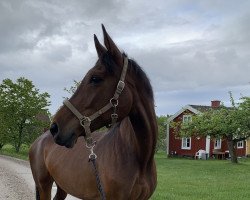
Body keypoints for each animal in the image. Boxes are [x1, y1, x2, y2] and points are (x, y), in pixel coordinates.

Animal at [29, 25, 157, 200]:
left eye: (95, 78)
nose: (55, 127)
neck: (140, 158)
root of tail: (38, 141)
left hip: (62, 187)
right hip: (44, 186)